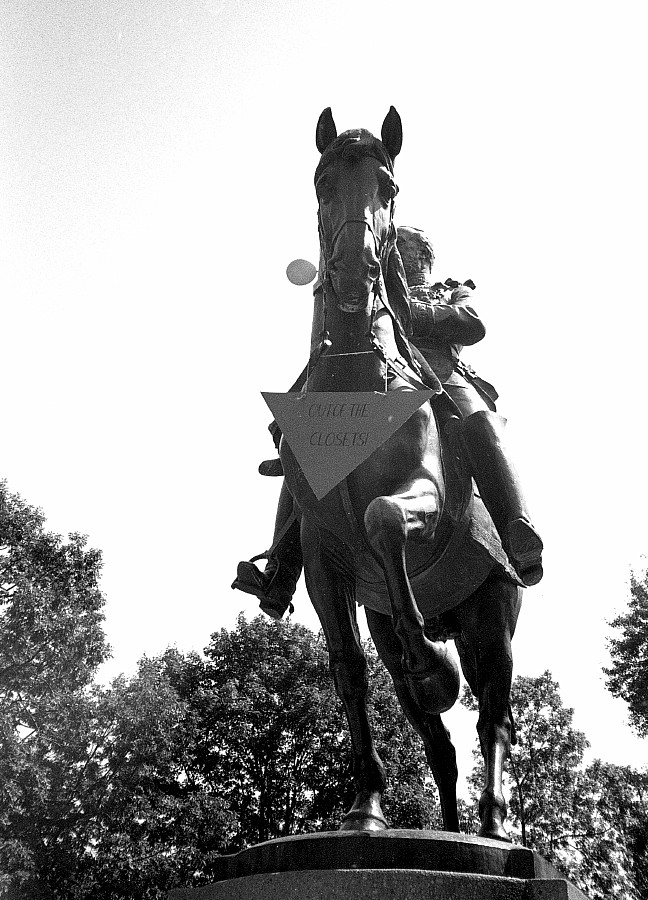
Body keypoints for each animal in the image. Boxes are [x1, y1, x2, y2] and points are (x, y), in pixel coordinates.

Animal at [278, 107, 520, 844]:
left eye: (386, 185)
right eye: (323, 181)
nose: (354, 273)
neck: (358, 375)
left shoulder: (425, 498)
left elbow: (383, 516)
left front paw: (434, 668)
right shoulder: (323, 555)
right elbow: (349, 672)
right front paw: (366, 806)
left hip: (491, 618)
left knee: (493, 715)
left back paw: (493, 823)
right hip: (393, 621)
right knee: (439, 742)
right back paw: (447, 824)